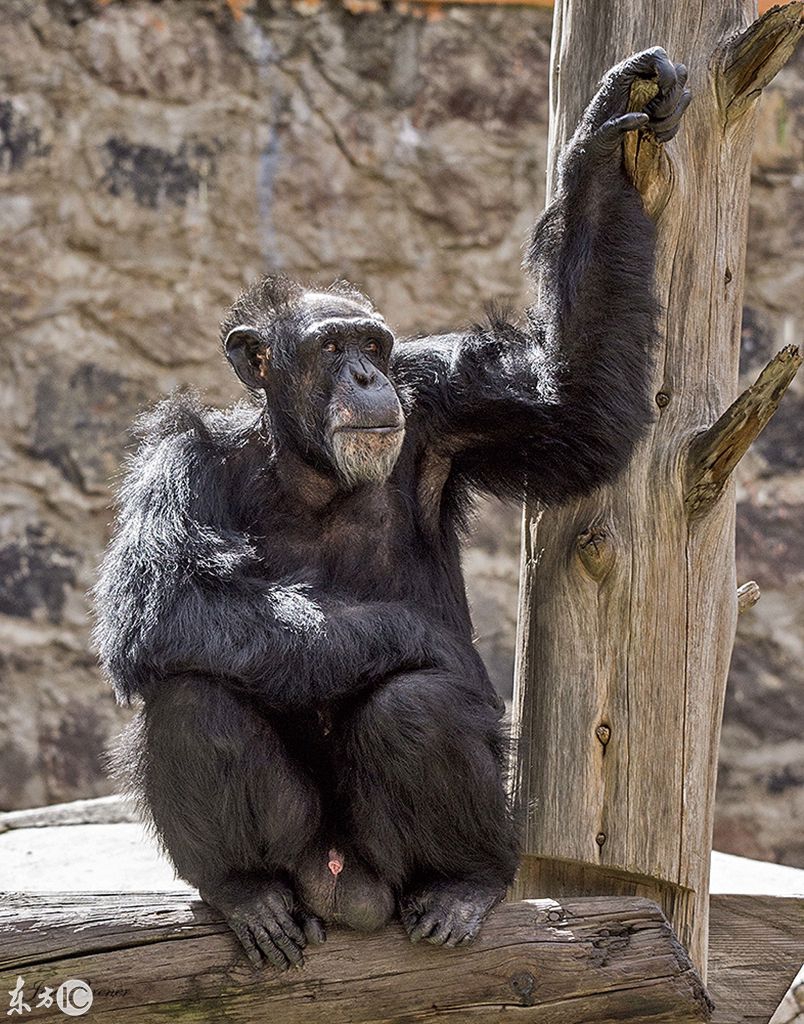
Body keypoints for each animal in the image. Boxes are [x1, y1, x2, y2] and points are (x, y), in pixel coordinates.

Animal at [94, 51, 688, 966]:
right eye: (331, 347)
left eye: (373, 345)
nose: (367, 375)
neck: (311, 471)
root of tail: (352, 890)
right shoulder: (176, 462)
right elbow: (161, 601)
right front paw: (427, 636)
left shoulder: (448, 400)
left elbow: (576, 410)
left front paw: (602, 134)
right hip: (307, 851)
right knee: (191, 694)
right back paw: (250, 892)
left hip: (428, 853)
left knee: (414, 713)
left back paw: (461, 884)